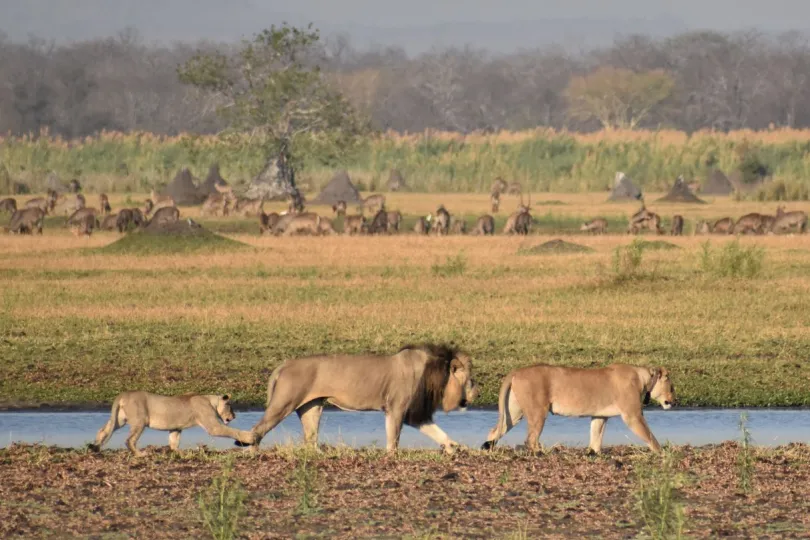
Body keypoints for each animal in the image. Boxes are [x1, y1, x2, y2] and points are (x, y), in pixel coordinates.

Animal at [89, 390, 254, 454]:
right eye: (230, 405)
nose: (234, 416)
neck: (210, 400)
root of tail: (124, 394)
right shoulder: (213, 426)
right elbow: (232, 431)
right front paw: (248, 437)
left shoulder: (176, 428)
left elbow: (174, 442)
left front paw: (179, 452)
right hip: (140, 421)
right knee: (129, 440)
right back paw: (141, 454)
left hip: (119, 419)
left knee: (103, 430)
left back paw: (95, 446)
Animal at [234, 344, 476, 454]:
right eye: (470, 380)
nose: (475, 393)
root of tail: (285, 364)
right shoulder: (397, 408)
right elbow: (394, 437)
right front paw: (392, 455)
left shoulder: (413, 414)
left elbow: (437, 431)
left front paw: (453, 446)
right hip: (283, 402)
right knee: (257, 428)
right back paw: (253, 451)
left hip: (311, 408)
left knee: (310, 438)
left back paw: (319, 453)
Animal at [482, 362, 672, 456]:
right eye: (672, 387)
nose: (672, 401)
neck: (644, 378)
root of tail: (516, 371)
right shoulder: (632, 415)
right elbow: (649, 435)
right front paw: (660, 452)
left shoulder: (599, 416)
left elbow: (596, 436)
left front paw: (594, 453)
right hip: (538, 411)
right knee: (530, 439)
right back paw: (543, 453)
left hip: (514, 412)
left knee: (494, 431)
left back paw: (488, 450)